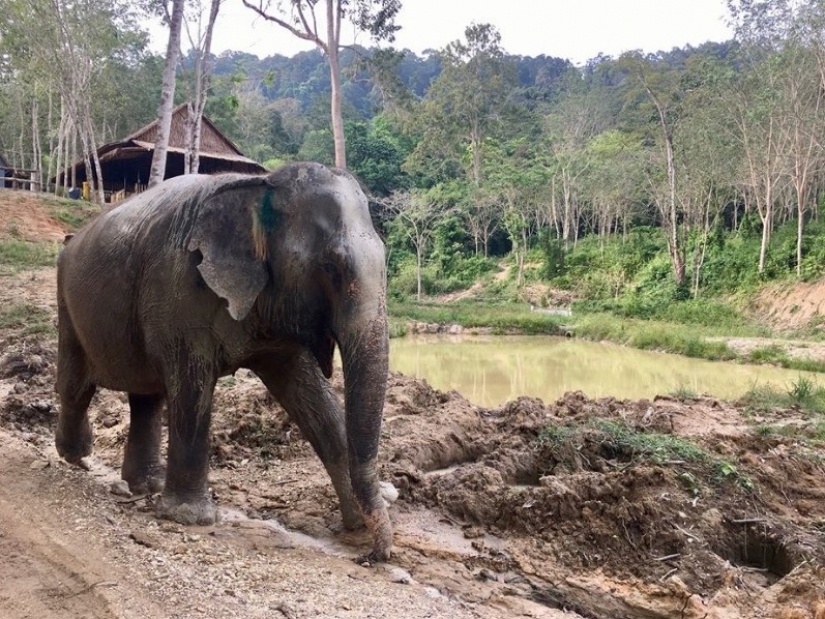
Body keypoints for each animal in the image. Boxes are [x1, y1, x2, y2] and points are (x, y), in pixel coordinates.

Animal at [54, 162, 393, 561]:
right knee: (77, 386)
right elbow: (193, 386)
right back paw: (77, 458)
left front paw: (355, 525)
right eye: (332, 266)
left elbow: (310, 395)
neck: (259, 186)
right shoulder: (179, 291)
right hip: (67, 301)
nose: (373, 555)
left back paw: (145, 485)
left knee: (146, 396)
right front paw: (190, 518)